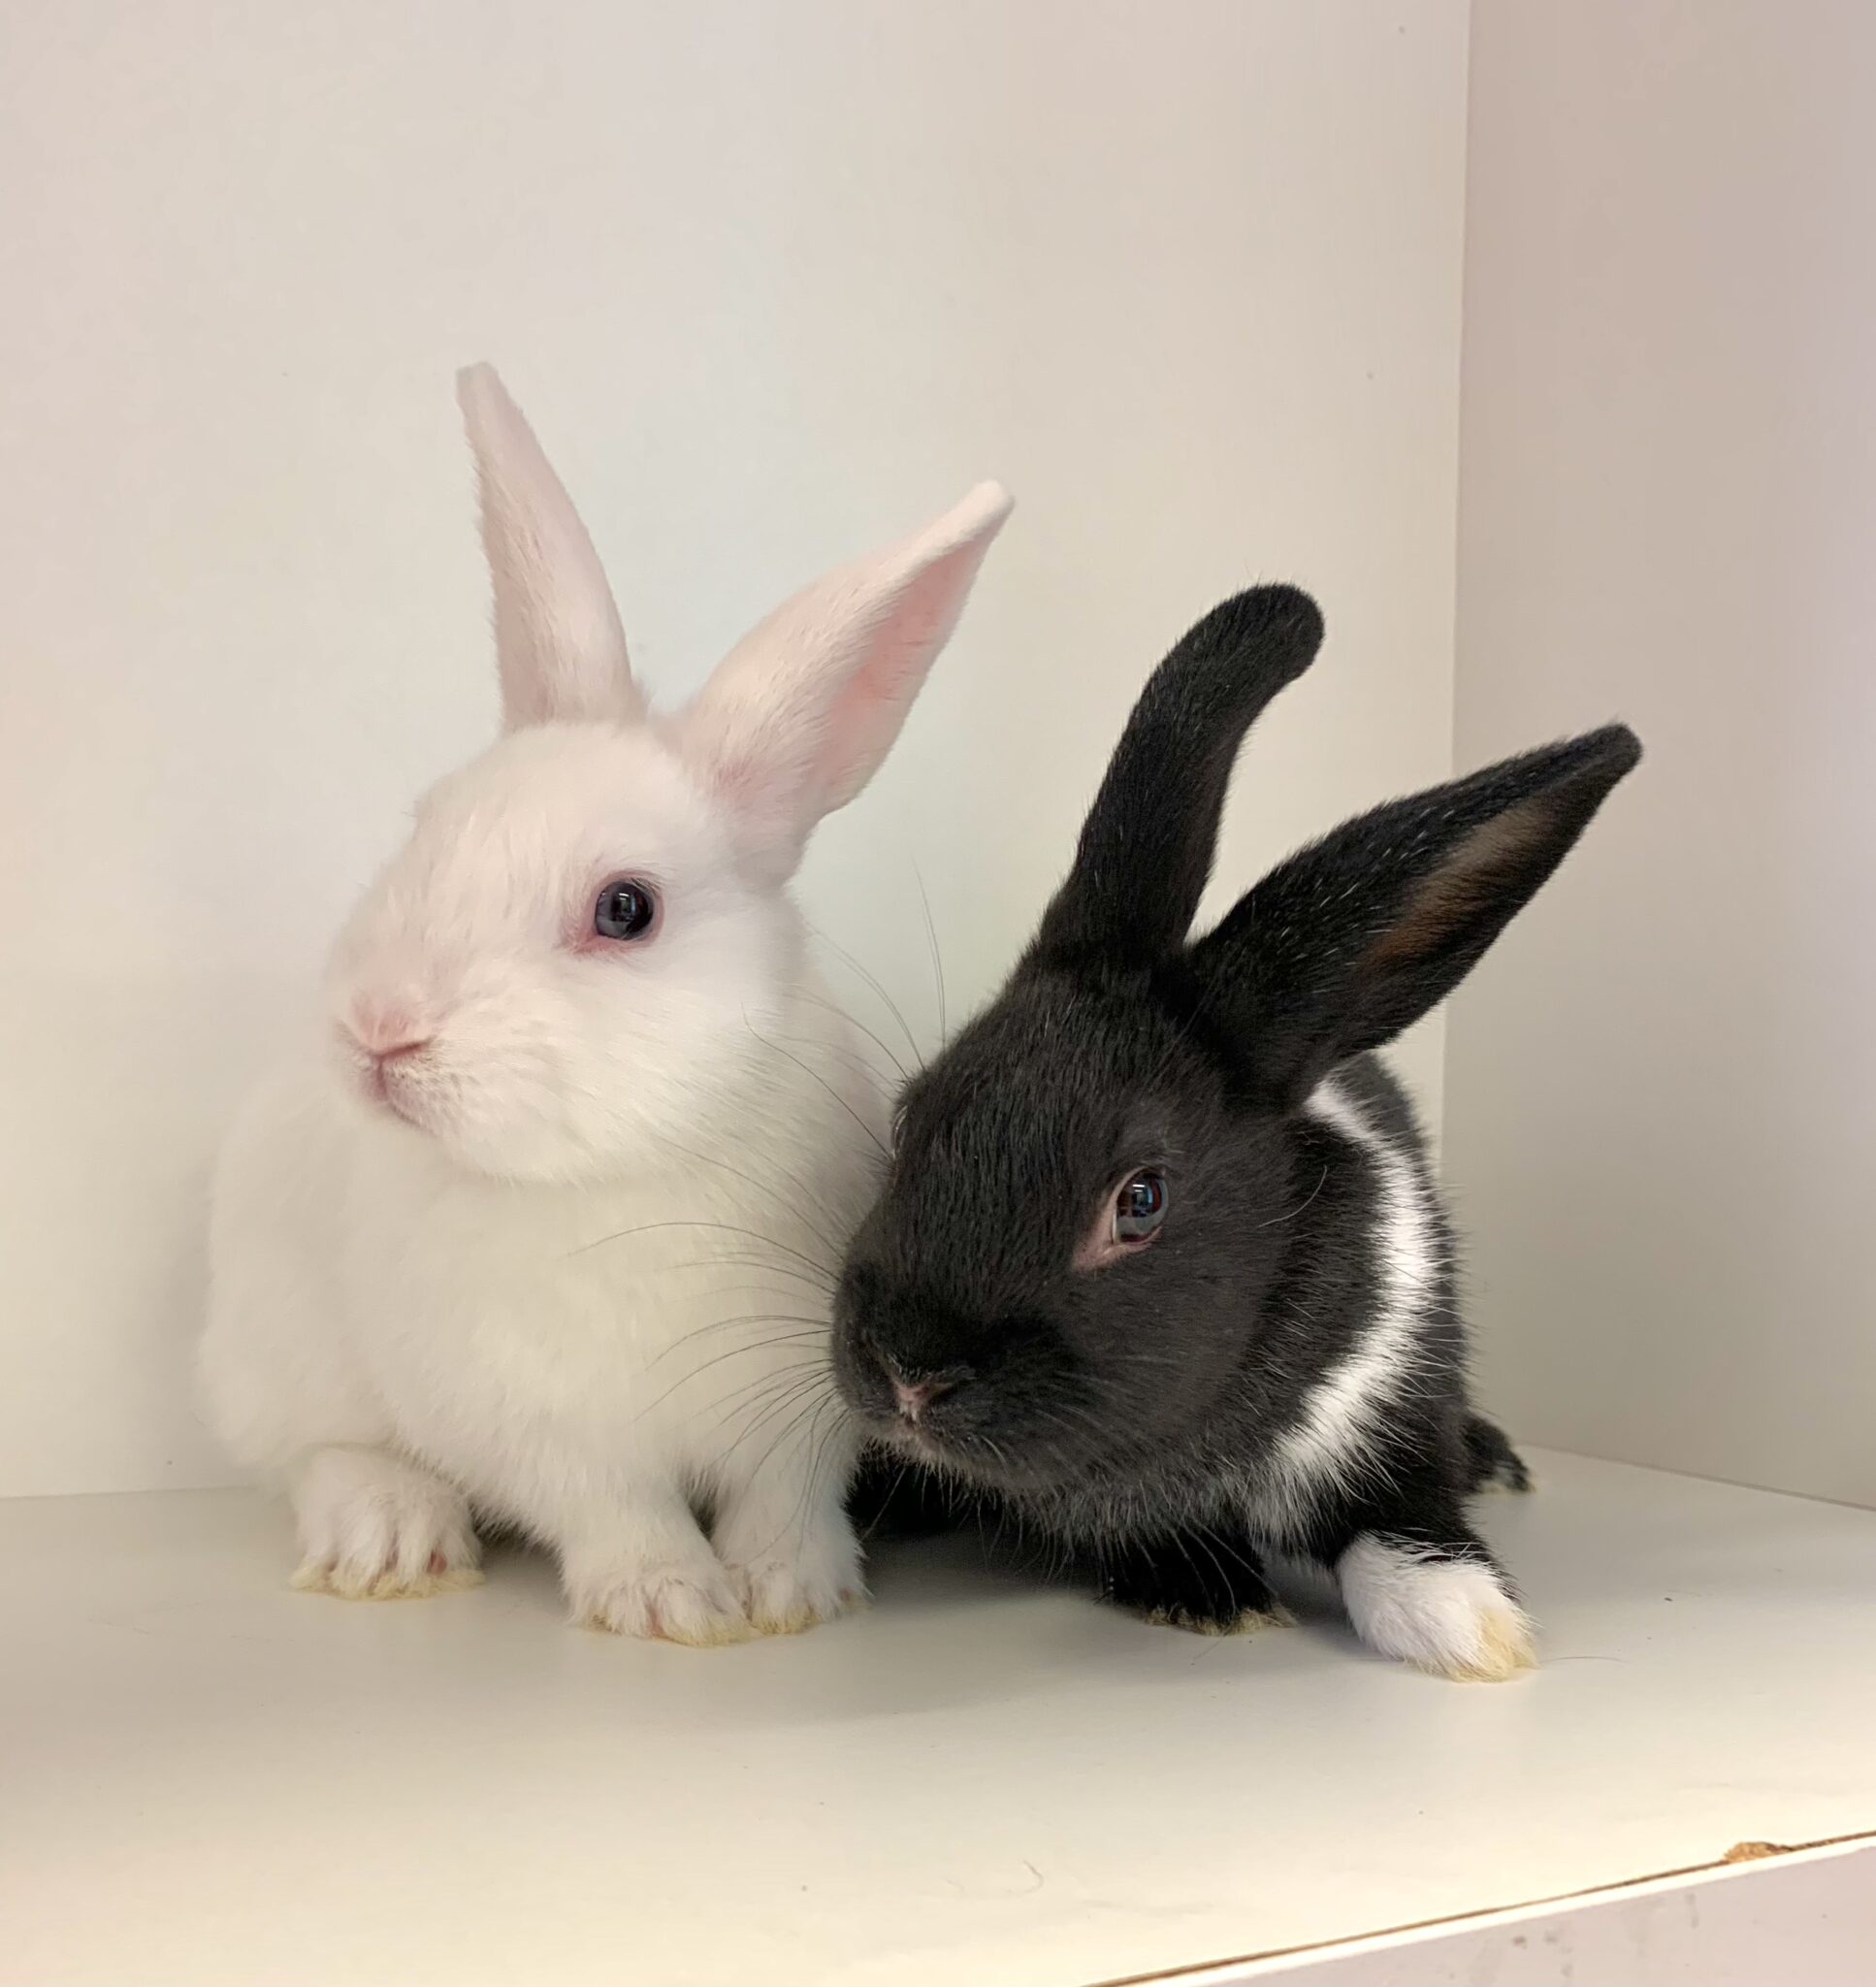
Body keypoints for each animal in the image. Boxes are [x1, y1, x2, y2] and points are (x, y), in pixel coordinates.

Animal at [198, 363, 1011, 1644]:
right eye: (424, 822)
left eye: (624, 908)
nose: (379, 1029)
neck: (629, 1169)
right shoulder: (538, 1424)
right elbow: (614, 1507)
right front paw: (670, 1601)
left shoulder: (806, 1403)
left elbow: (785, 1496)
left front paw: (790, 1591)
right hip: (278, 1349)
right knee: (315, 1453)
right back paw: (390, 1534)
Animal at [832, 585, 1638, 1681]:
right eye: (912, 1113)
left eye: (1139, 1200)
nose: (909, 1374)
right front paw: (1206, 1590)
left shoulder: (1393, 1402)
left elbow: (1399, 1528)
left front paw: (1474, 1628)